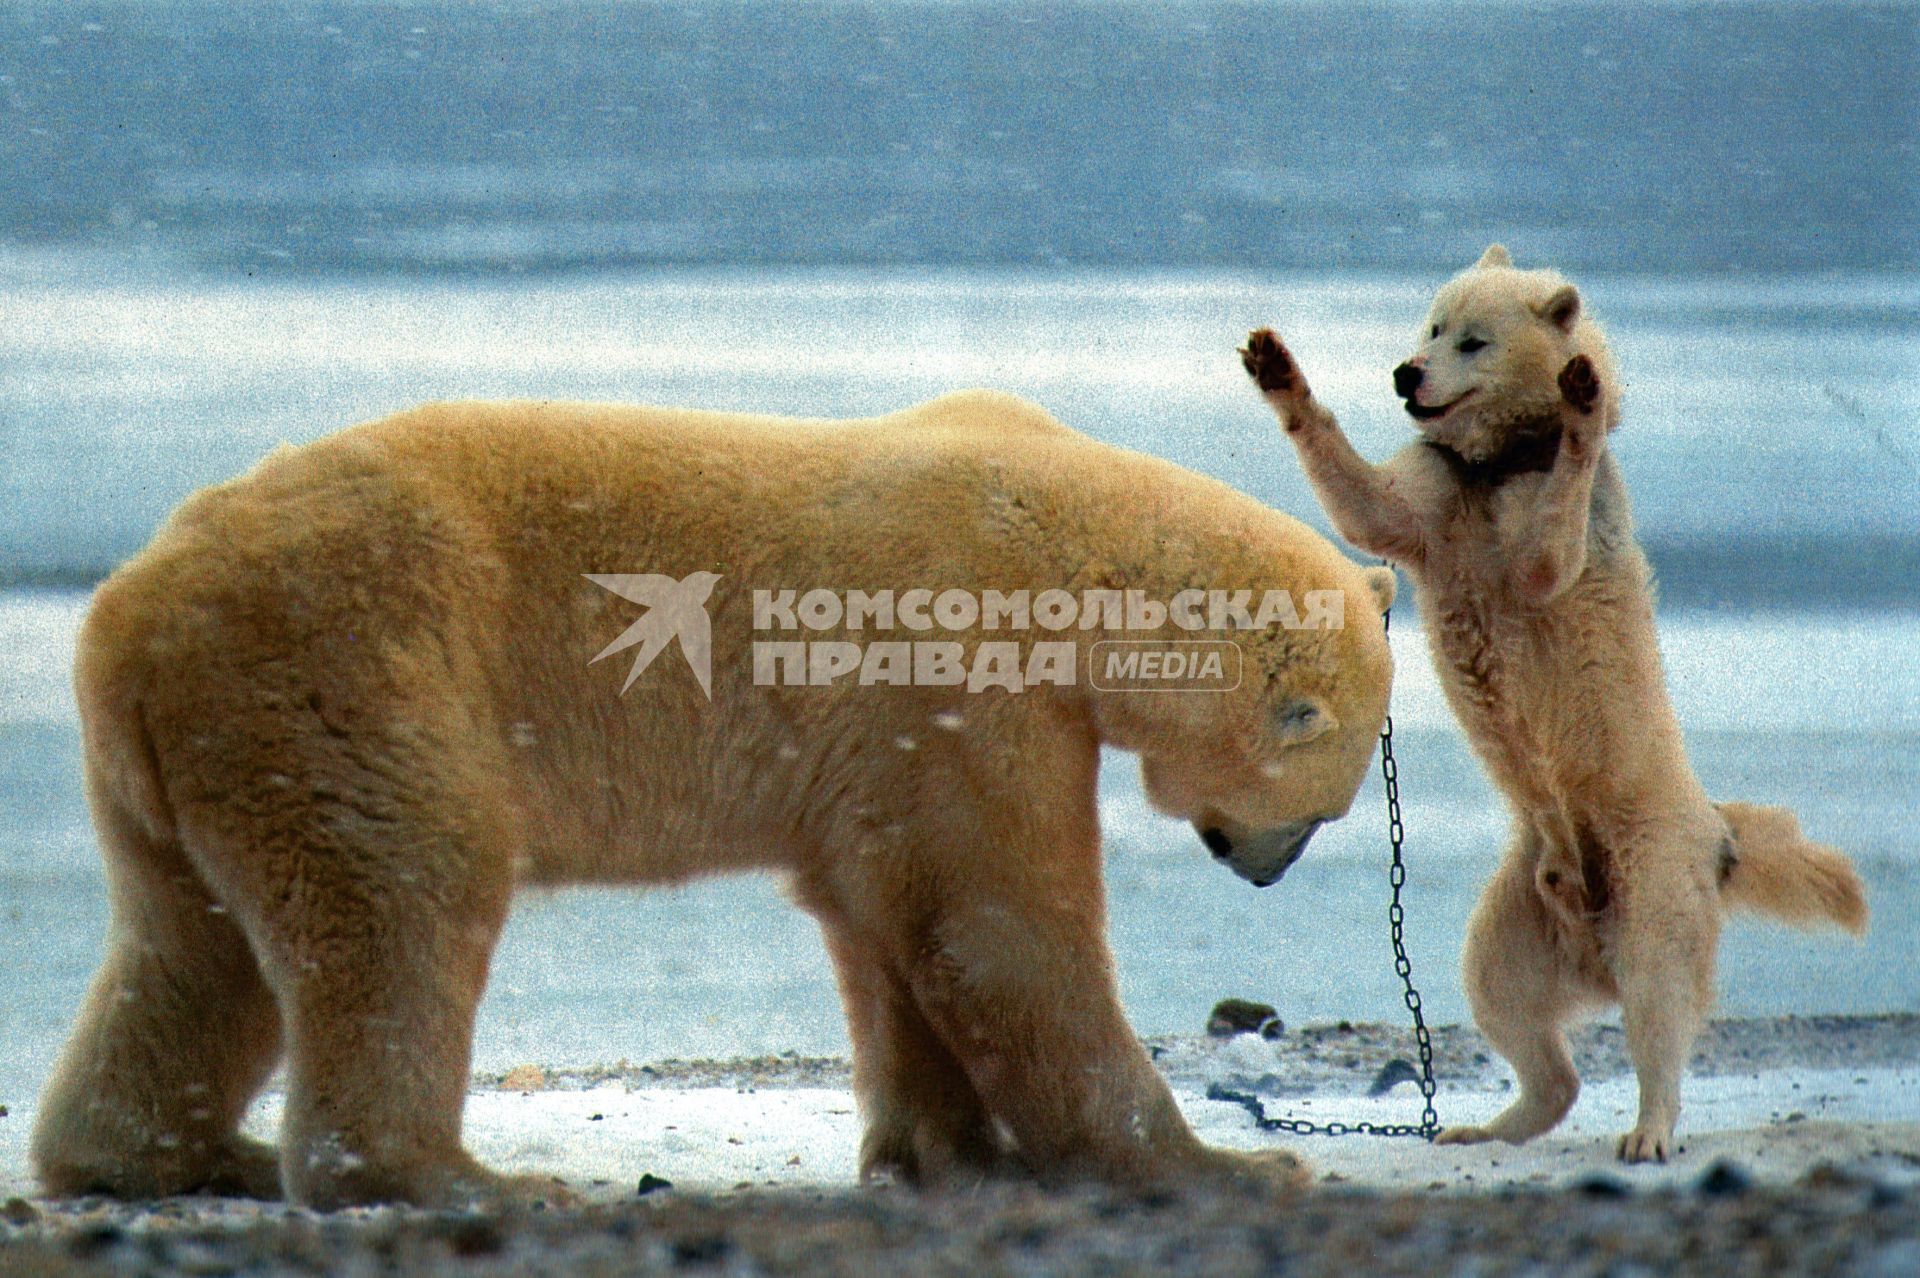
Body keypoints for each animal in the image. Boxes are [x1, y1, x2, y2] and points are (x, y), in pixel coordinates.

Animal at [33, 387, 1397, 1205]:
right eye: (1323, 801)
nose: (1263, 862)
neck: (1062, 535)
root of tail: (128, 607)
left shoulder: (891, 744)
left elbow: (889, 922)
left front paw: (946, 1152)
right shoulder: (953, 675)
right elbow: (997, 925)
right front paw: (1222, 1165)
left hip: (193, 744)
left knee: (190, 945)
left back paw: (168, 1152)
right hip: (351, 673)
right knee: (400, 898)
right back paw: (444, 1174)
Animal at [1236, 241, 1866, 1166]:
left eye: (1474, 339)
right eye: (1432, 323)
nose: (1406, 373)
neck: (1500, 456)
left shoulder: (1531, 515)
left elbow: (1544, 562)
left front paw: (1581, 405)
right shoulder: (1445, 492)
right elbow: (1368, 507)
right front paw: (1276, 366)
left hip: (1649, 854)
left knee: (1656, 991)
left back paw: (1649, 1126)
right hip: (1526, 891)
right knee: (1503, 995)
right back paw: (1488, 1120)